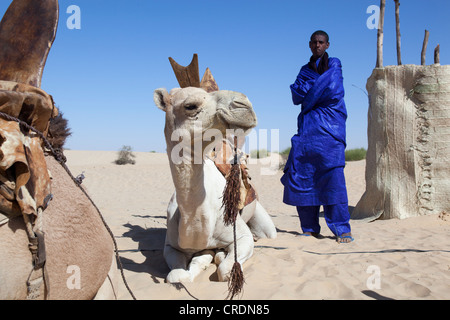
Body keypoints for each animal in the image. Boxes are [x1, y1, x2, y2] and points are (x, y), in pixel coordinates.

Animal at [153, 55, 276, 284]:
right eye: (190, 105)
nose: (244, 104)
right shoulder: (171, 246)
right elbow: (177, 275)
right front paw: (203, 260)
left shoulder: (242, 236)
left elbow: (226, 270)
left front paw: (216, 258)